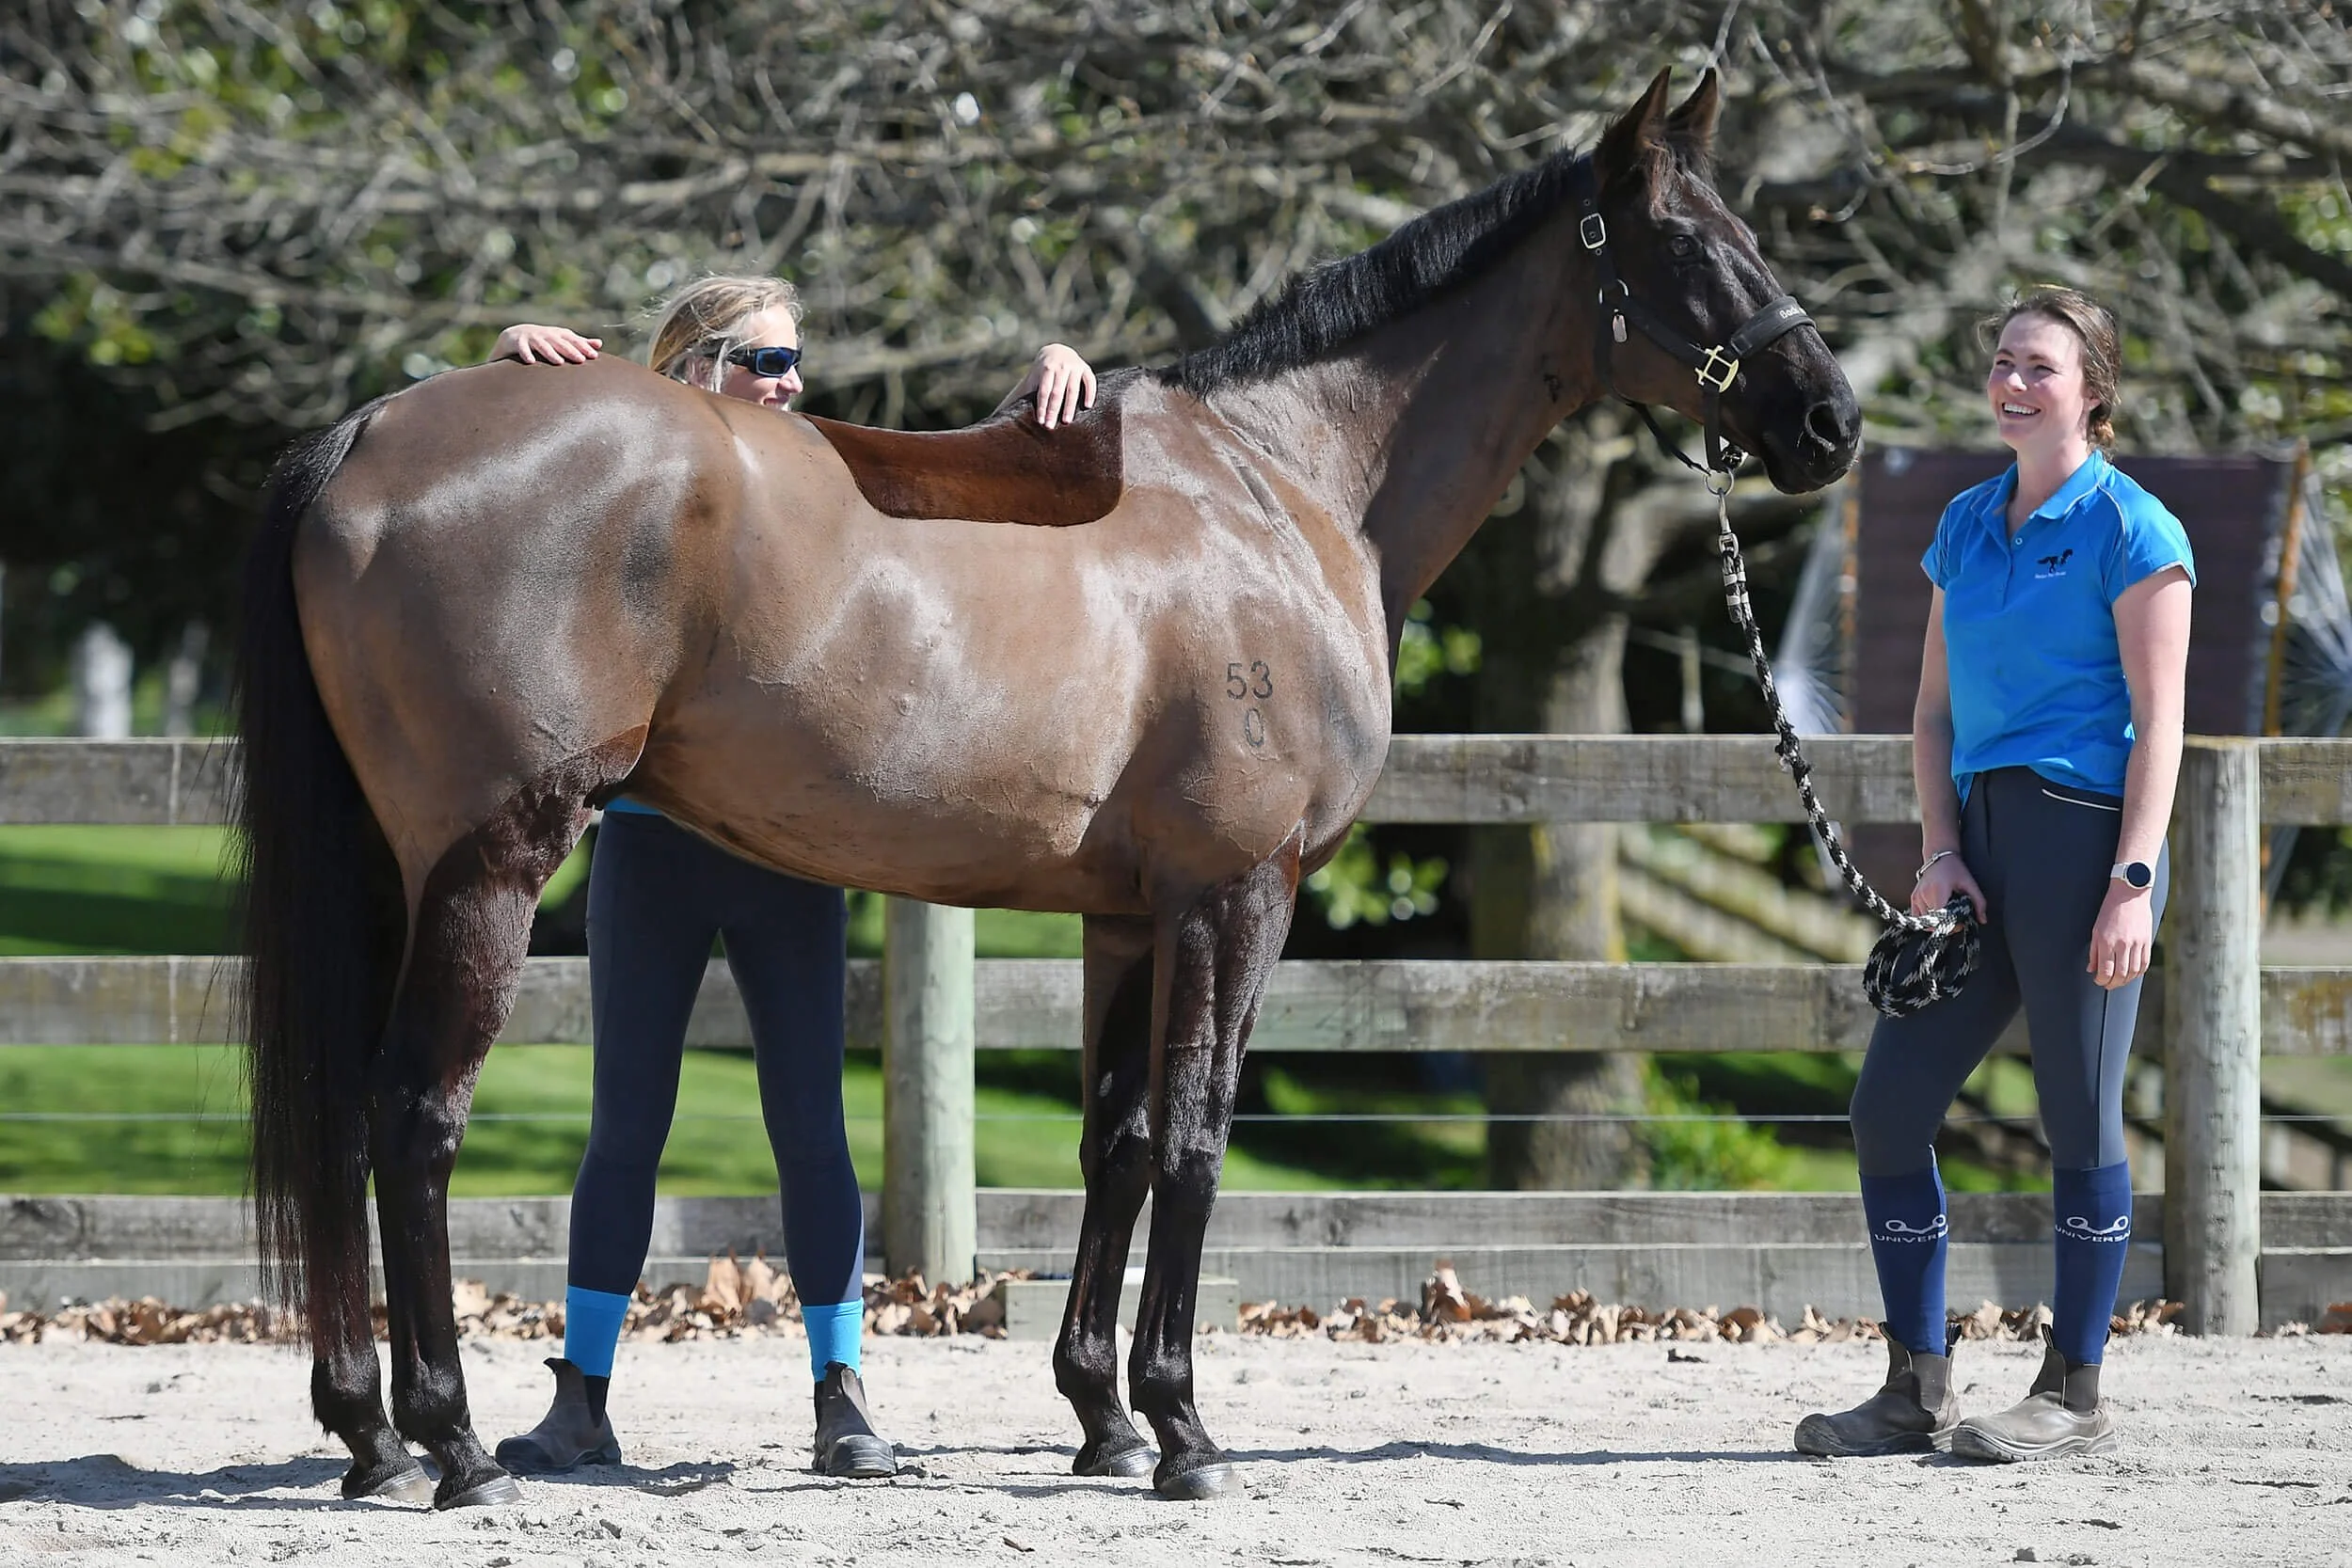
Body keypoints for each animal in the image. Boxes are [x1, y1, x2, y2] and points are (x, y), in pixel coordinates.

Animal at [233, 67, 1859, 1508]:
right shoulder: (1237, 896)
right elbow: (1197, 1135)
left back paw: (369, 1434)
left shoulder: (1132, 913)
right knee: (412, 1118)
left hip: (394, 873)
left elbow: (1119, 1137)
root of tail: (368, 432)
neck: (1282, 486)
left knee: (348, 1116)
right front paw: (1185, 1425)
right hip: (488, 867)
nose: (1828, 420)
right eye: (1690, 247)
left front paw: (1102, 1415)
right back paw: (448, 1443)